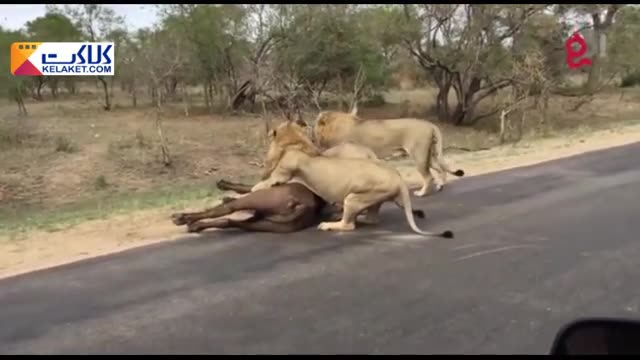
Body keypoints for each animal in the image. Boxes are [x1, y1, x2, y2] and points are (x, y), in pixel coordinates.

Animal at [252, 146, 452, 239]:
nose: (262, 161)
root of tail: (399, 178)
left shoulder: (282, 173)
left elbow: (267, 183)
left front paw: (254, 188)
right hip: (375, 197)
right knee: (372, 218)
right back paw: (358, 217)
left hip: (353, 197)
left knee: (349, 225)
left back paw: (329, 224)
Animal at [312, 107, 464, 197]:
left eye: (314, 125)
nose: (312, 136)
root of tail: (430, 124)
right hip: (429, 155)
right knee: (441, 169)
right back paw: (440, 186)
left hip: (418, 155)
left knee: (428, 176)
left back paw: (421, 193)